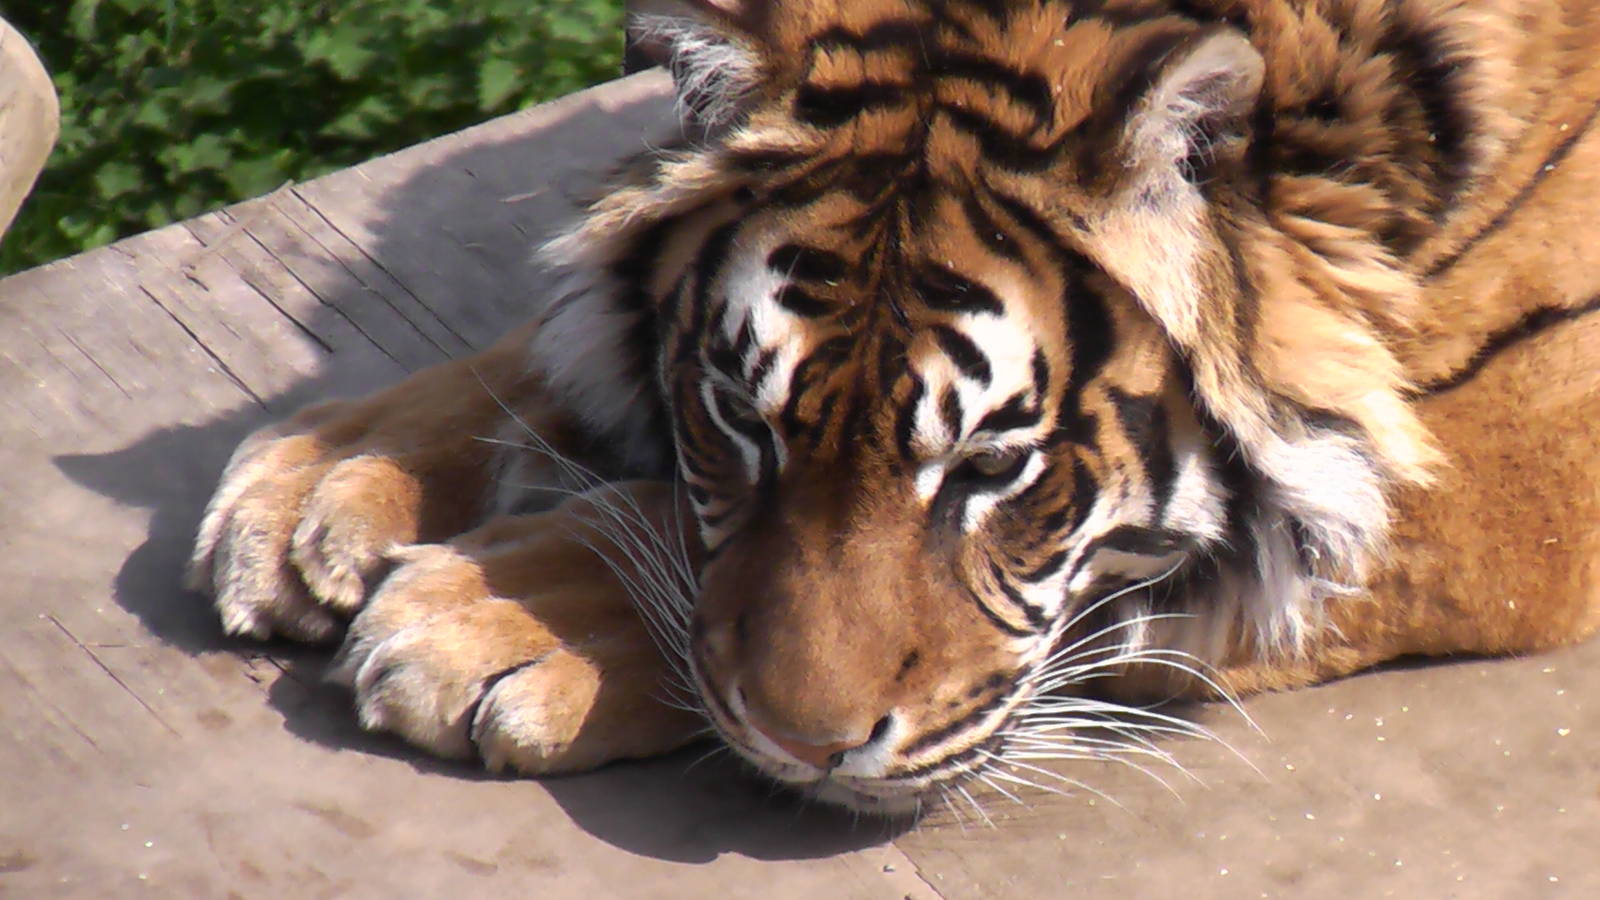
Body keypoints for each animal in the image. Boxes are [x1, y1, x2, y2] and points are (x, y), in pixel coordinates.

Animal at [187, 0, 1600, 815]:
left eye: (990, 468)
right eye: (744, 422)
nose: (800, 747)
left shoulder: (1531, 443)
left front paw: (497, 618)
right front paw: (332, 475)